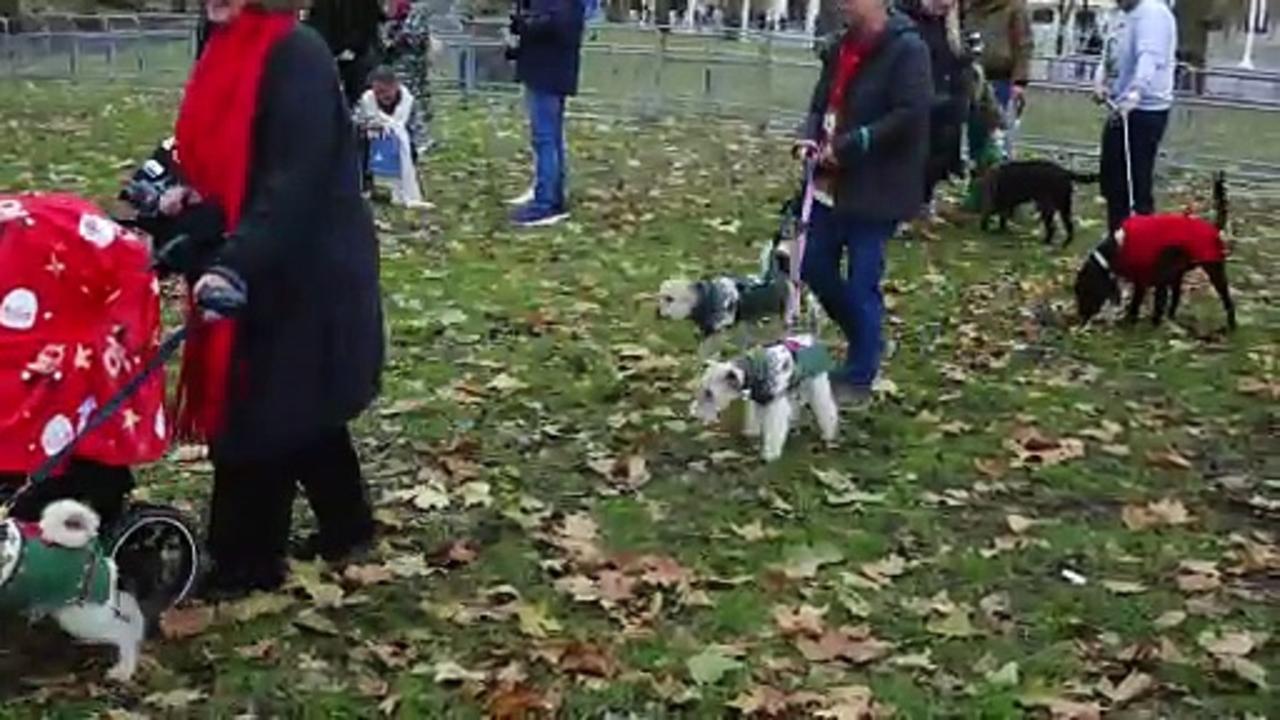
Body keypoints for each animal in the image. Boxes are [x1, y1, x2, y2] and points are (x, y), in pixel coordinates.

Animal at [1075, 172, 1233, 330]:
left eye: (1085, 291)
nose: (1081, 319)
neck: (1116, 249)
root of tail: (1214, 229)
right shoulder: (1152, 279)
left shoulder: (1147, 280)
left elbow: (1144, 304)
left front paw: (1134, 322)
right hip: (1178, 274)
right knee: (1175, 298)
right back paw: (1170, 318)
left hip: (1214, 270)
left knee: (1227, 300)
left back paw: (1230, 326)